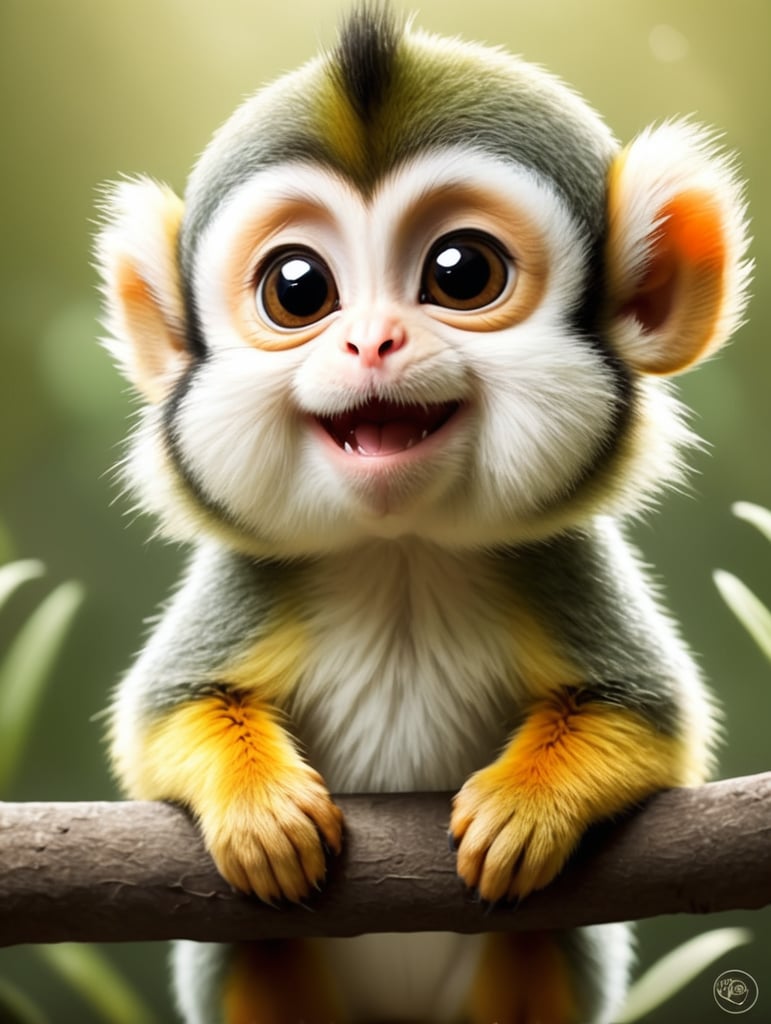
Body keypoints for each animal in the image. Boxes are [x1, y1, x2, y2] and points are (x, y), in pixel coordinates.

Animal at [96, 6, 750, 1023]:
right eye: (298, 287)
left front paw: (531, 797)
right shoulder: (251, 583)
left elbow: (651, 718)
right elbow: (159, 719)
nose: (371, 341)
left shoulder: (558, 562)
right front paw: (253, 798)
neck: (398, 549)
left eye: (459, 271)